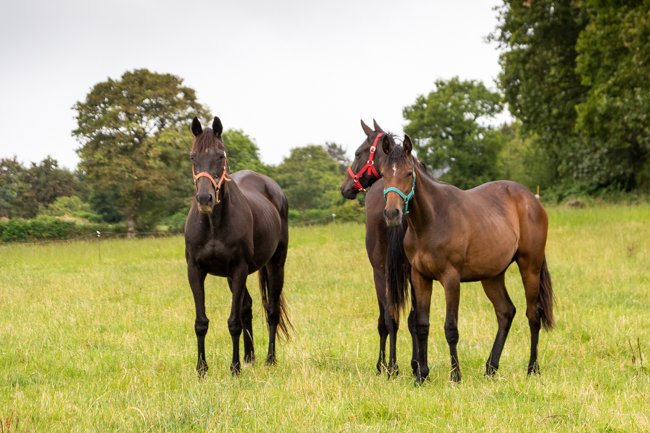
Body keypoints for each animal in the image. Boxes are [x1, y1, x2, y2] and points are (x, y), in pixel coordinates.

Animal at [184, 116, 291, 377]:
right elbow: (201, 322)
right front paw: (201, 369)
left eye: (221, 155)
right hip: (232, 278)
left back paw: (269, 359)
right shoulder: (195, 270)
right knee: (247, 308)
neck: (213, 224)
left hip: (275, 264)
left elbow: (233, 322)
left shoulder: (239, 268)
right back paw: (249, 356)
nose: (205, 199)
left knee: (271, 311)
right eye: (193, 157)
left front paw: (234, 369)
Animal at [340, 119, 416, 377]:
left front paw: (383, 364)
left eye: (357, 153)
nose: (345, 187)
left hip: (382, 272)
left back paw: (390, 366)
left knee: (389, 318)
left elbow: (385, 320)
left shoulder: (379, 270)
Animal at [380, 135, 554, 384]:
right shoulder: (420, 277)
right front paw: (422, 375)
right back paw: (491, 368)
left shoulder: (451, 278)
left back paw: (532, 368)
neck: (431, 220)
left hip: (530, 267)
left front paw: (455, 375)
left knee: (533, 315)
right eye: (383, 173)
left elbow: (451, 328)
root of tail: (532, 199)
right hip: (492, 276)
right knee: (505, 312)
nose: (392, 214)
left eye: (408, 173)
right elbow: (422, 324)